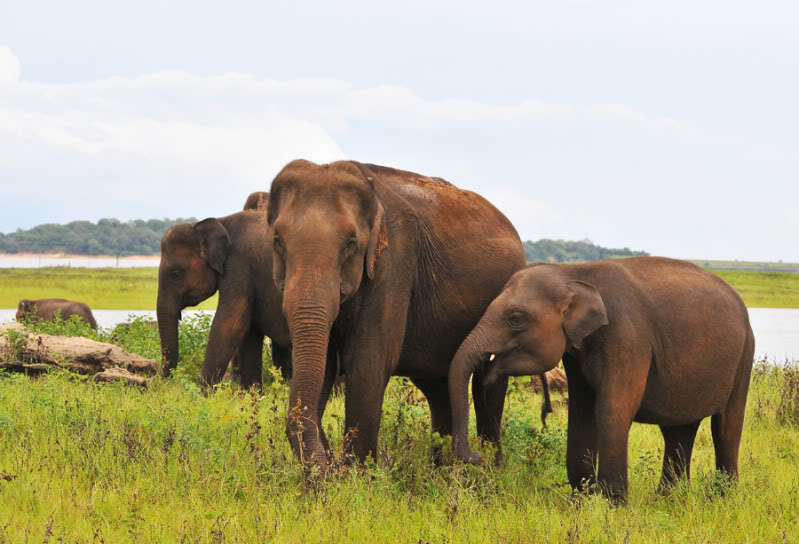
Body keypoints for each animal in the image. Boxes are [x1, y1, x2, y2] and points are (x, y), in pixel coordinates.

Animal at [266, 159, 524, 470]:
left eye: (351, 243)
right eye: (278, 240)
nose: (327, 468)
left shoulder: (395, 262)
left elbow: (367, 362)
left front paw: (356, 475)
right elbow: (326, 364)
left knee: (487, 386)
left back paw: (489, 470)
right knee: (438, 387)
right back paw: (443, 470)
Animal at [450, 258, 756, 504]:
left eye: (515, 318)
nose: (478, 457)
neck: (573, 273)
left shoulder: (627, 337)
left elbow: (611, 410)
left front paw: (613, 504)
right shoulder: (576, 349)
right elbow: (582, 412)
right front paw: (583, 499)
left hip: (745, 355)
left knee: (726, 427)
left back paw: (722, 499)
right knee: (678, 430)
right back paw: (667, 499)